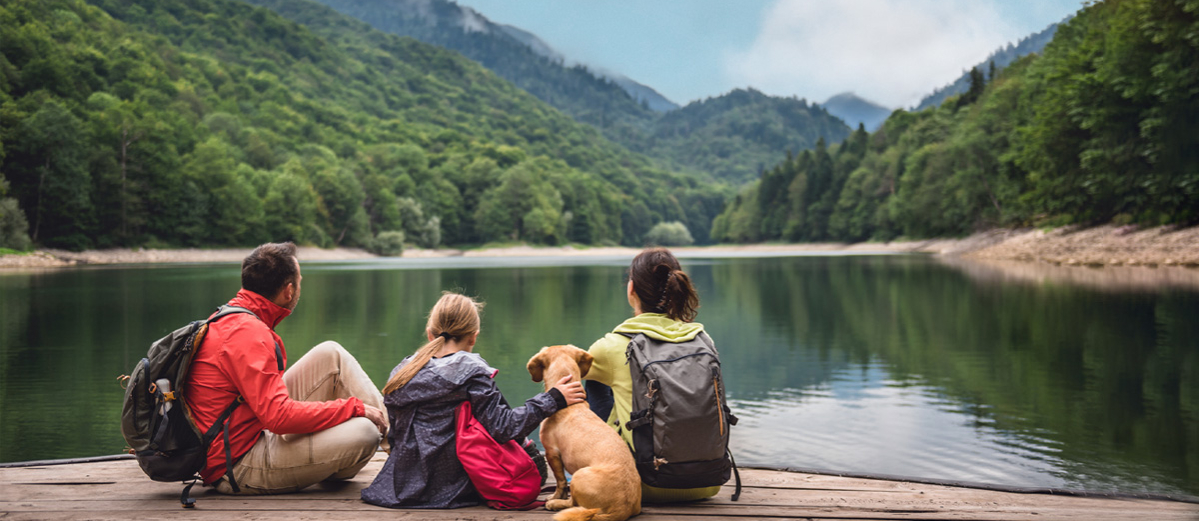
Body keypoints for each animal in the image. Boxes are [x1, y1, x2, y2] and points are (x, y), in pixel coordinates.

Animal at [529, 347, 642, 521]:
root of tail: (622, 509)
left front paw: (554, 497)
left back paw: (555, 504)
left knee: (573, 503)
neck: (570, 404)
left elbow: (560, 481)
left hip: (578, 475)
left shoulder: (551, 452)